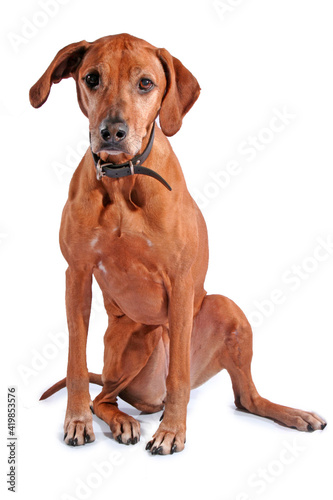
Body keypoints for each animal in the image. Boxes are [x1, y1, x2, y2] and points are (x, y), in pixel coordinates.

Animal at [29, 33, 326, 456]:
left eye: (145, 83)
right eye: (91, 78)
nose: (112, 132)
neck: (123, 182)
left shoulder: (181, 282)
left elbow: (180, 375)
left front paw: (172, 431)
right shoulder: (77, 275)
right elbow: (75, 364)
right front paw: (77, 421)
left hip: (222, 310)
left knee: (244, 398)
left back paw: (291, 413)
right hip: (137, 341)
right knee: (103, 396)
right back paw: (122, 421)